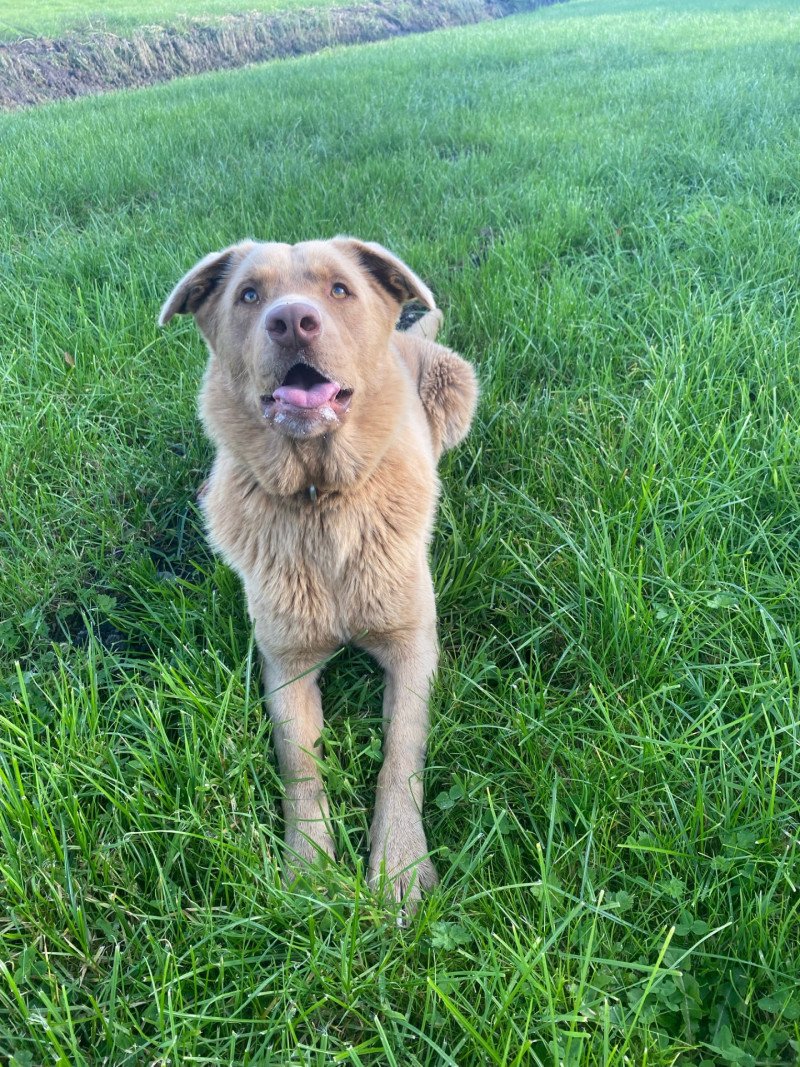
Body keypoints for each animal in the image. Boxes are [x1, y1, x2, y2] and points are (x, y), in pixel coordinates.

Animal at [160, 237, 480, 904]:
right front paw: (310, 871)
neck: (318, 498)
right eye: (248, 294)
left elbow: (400, 754)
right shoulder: (285, 660)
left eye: (339, 290)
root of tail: (406, 337)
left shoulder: (413, 644)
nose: (291, 320)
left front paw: (400, 867)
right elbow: (299, 765)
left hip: (455, 385)